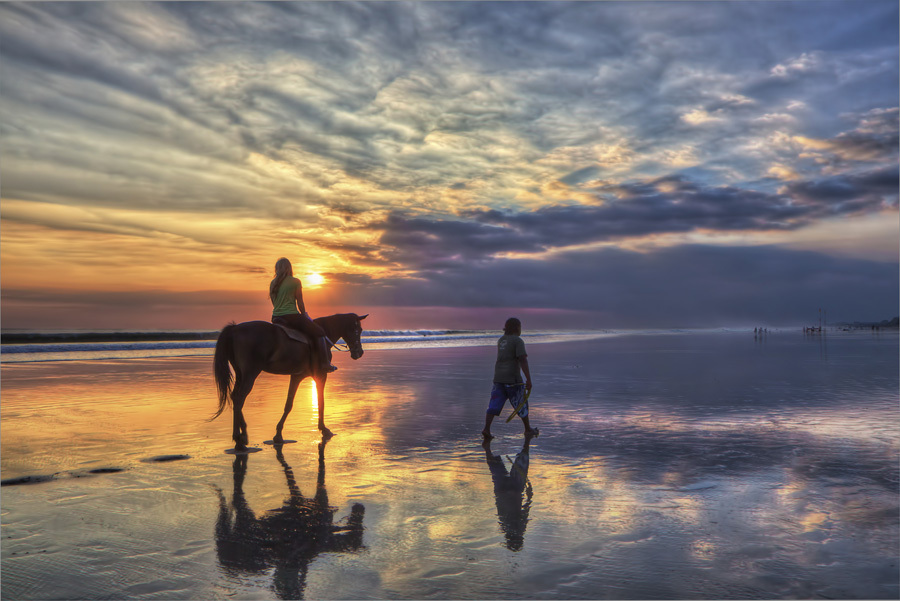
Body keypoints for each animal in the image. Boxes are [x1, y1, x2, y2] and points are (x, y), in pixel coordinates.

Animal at [213, 312, 368, 448]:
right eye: (358, 330)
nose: (359, 352)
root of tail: (234, 328)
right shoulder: (321, 375)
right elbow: (321, 402)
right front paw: (324, 429)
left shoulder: (296, 376)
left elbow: (288, 404)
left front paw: (278, 435)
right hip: (251, 373)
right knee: (239, 399)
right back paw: (240, 437)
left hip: (240, 373)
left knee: (235, 397)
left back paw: (240, 437)